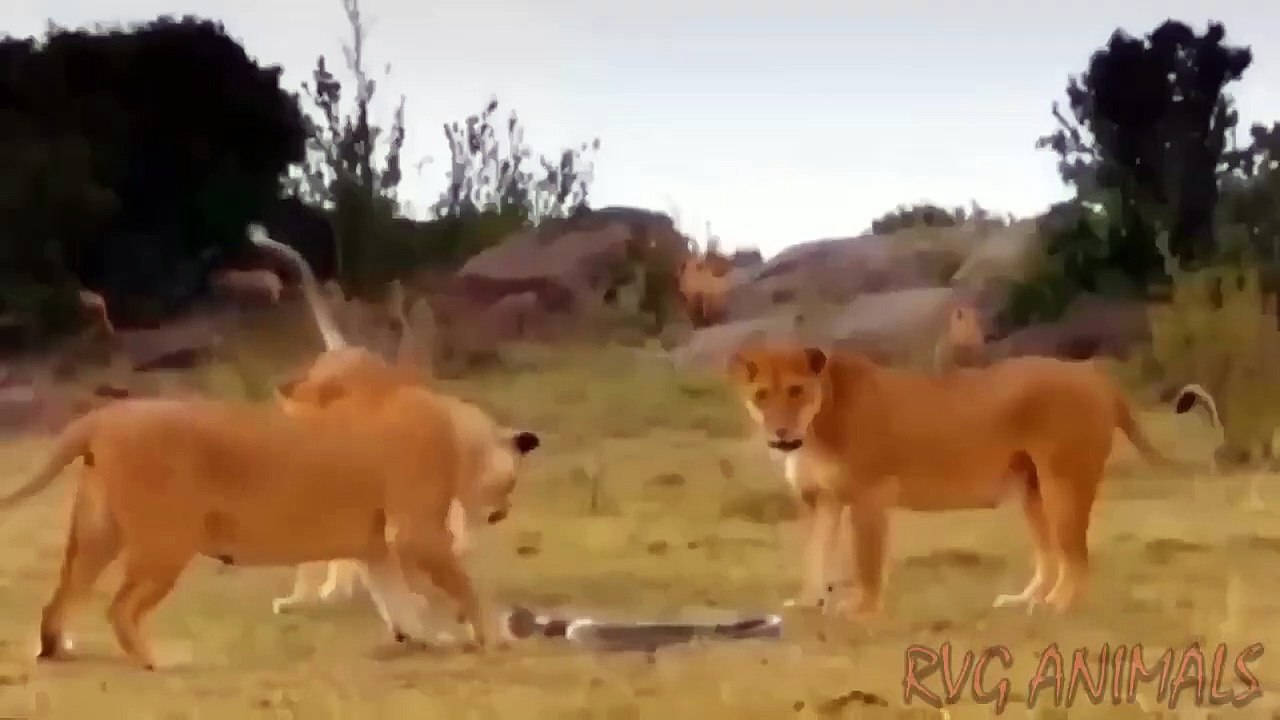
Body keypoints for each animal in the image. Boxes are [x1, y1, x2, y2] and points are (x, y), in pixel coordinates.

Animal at [0, 363, 541, 670]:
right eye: (511, 482)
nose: (503, 512)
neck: (459, 432)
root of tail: (103, 416)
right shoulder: (416, 533)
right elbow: (463, 589)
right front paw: (490, 637)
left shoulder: (377, 549)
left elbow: (399, 601)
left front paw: (425, 638)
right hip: (167, 543)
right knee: (120, 609)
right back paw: (162, 661)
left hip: (97, 535)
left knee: (59, 600)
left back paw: (56, 650)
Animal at [728, 345, 1181, 618]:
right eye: (762, 395)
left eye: (796, 391)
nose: (781, 432)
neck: (814, 430)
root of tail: (1091, 373)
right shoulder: (822, 500)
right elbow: (815, 555)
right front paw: (809, 602)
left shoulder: (869, 495)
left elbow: (866, 560)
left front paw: (862, 610)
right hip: (1031, 489)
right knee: (1051, 554)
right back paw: (1024, 601)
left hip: (1063, 482)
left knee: (1078, 558)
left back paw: (1057, 606)